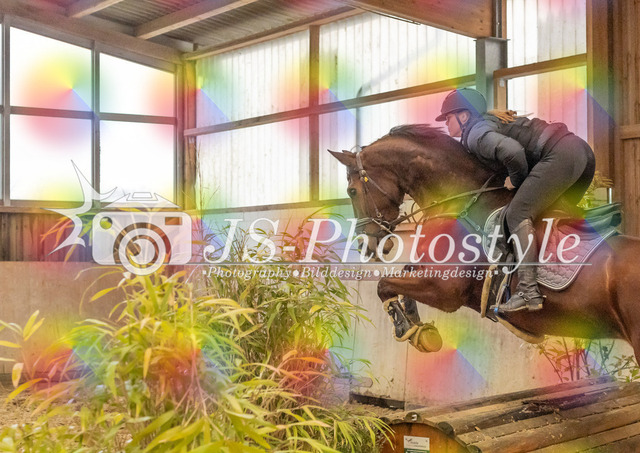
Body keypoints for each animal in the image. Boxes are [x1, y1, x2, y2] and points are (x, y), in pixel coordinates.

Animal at [329, 124, 640, 363]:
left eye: (352, 191)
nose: (366, 245)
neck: (460, 200)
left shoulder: (445, 290)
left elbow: (384, 285)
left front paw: (407, 328)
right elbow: (404, 275)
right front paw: (419, 330)